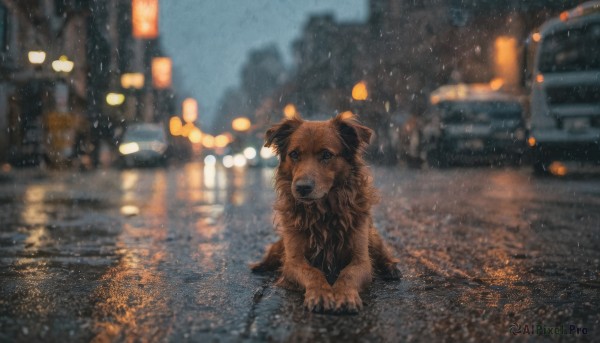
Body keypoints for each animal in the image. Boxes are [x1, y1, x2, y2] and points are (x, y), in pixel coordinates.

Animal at [251, 114, 400, 314]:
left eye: (326, 155)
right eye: (294, 154)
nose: (302, 188)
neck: (323, 212)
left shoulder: (361, 260)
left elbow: (347, 274)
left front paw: (344, 294)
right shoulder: (293, 260)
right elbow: (313, 272)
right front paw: (321, 293)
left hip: (372, 236)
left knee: (383, 252)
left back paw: (391, 268)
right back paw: (260, 265)